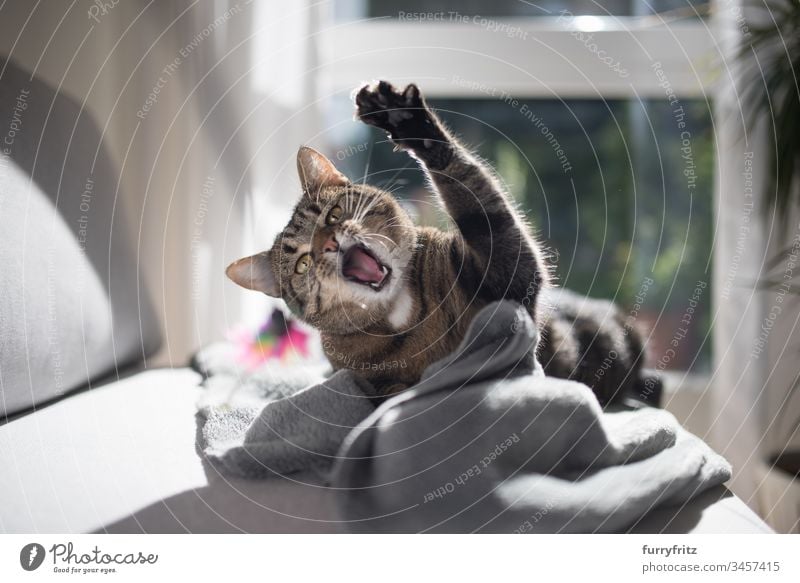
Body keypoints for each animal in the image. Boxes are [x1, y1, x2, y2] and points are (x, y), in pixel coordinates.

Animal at [227, 80, 656, 406]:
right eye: (302, 263)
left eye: (332, 215)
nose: (330, 243)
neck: (403, 312)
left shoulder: (508, 275)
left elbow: (473, 195)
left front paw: (405, 118)